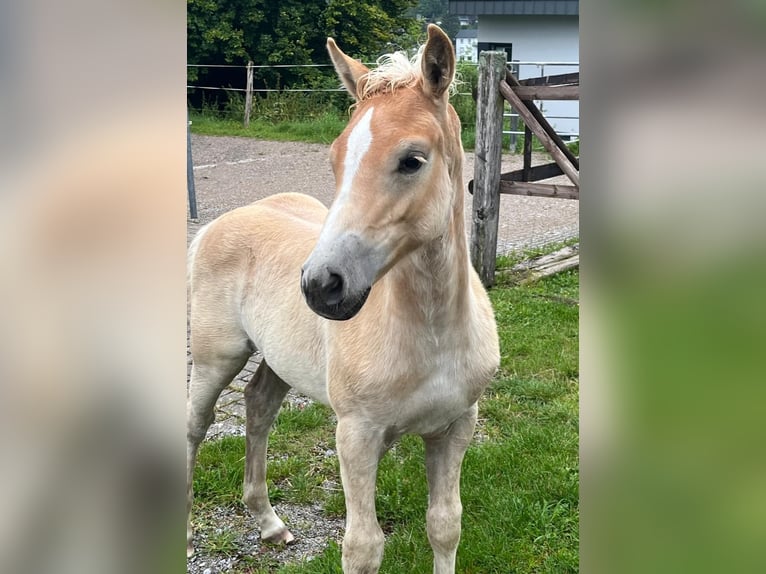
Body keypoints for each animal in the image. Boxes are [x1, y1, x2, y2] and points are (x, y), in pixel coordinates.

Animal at [184, 24, 498, 572]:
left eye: (412, 160)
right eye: (334, 158)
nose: (320, 285)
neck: (431, 335)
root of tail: (215, 226)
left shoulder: (456, 425)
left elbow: (445, 525)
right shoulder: (356, 434)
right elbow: (363, 546)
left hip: (278, 359)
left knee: (259, 406)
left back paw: (270, 524)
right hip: (214, 358)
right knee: (195, 426)